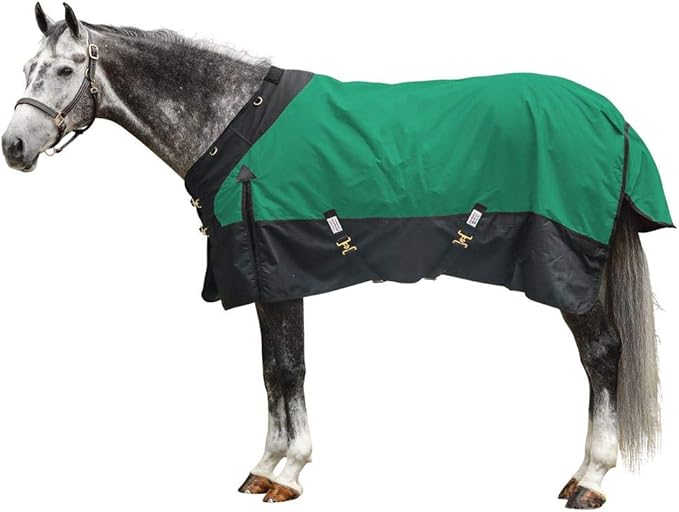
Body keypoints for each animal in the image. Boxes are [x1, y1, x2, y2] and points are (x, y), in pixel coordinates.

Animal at [1, 4, 668, 508]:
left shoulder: (279, 272)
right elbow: (271, 370)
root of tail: (610, 115)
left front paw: (289, 472)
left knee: (602, 355)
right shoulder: (263, 278)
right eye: (27, 67)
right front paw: (264, 466)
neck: (234, 124)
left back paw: (590, 479)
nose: (14, 146)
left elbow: (289, 368)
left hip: (569, 269)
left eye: (64, 69)